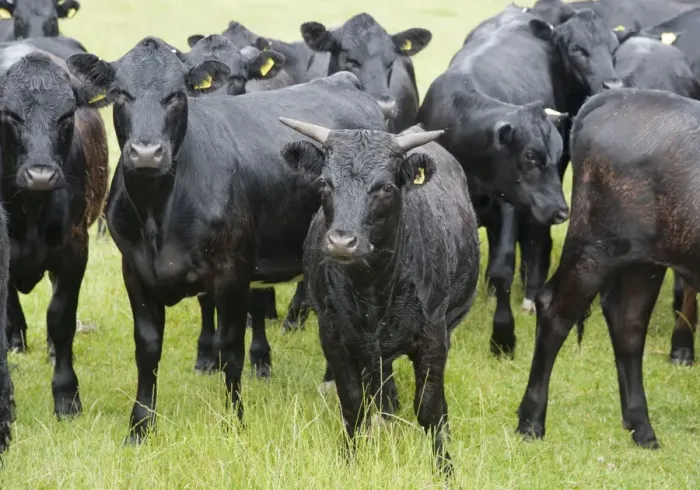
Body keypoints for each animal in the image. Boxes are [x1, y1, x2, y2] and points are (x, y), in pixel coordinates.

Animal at [0, 49, 108, 418]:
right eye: (9, 114)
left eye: (67, 115)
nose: (41, 175)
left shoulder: (74, 251)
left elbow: (60, 319)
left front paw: (66, 397)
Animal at [66, 36, 387, 442]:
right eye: (121, 93)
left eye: (177, 94)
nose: (146, 152)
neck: (159, 212)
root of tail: (344, 81)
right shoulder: (135, 272)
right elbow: (147, 348)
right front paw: (139, 426)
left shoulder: (232, 272)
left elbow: (231, 348)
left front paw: (234, 419)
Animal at [279, 118, 479, 475]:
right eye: (324, 182)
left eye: (385, 187)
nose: (342, 242)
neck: (374, 287)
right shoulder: (333, 337)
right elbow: (352, 404)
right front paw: (348, 459)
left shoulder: (434, 338)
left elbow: (429, 407)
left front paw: (444, 467)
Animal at [516, 87, 700, 449]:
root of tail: (619, 96)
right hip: (595, 248)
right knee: (555, 311)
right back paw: (530, 422)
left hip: (643, 261)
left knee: (628, 323)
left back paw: (641, 428)